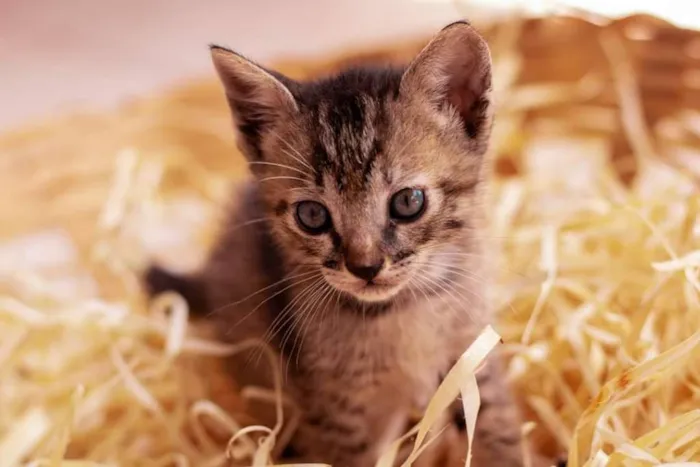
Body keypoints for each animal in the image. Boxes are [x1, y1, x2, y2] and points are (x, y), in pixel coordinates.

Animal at [146, 20, 524, 466]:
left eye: (408, 202)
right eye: (312, 215)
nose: (365, 267)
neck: (402, 310)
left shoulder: (471, 355)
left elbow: (497, 430)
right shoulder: (334, 409)